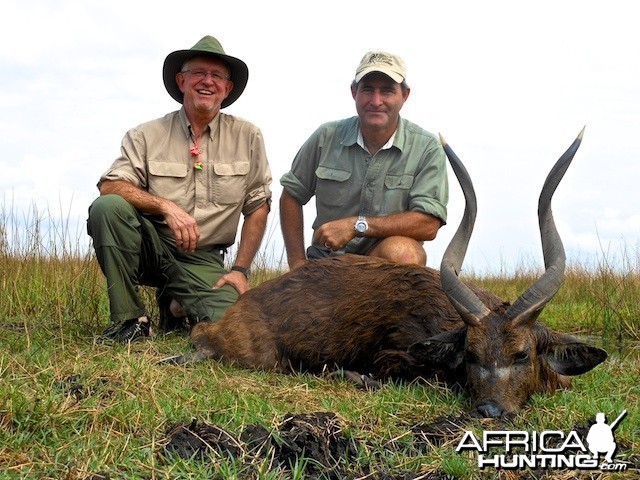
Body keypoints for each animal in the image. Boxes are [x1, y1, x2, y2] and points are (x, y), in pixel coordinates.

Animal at [164, 129, 604, 418]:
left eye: (522, 353)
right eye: (471, 353)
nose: (490, 411)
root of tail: (242, 305)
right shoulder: (395, 356)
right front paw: (352, 376)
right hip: (258, 356)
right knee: (201, 335)